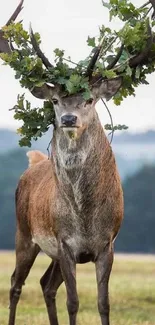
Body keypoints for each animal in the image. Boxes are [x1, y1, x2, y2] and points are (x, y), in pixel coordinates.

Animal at [0, 0, 154, 324]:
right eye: (55, 101)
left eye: (90, 99)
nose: (69, 119)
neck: (84, 214)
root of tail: (33, 163)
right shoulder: (65, 242)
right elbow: (73, 301)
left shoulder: (107, 244)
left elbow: (103, 302)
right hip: (24, 233)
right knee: (16, 283)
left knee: (45, 284)